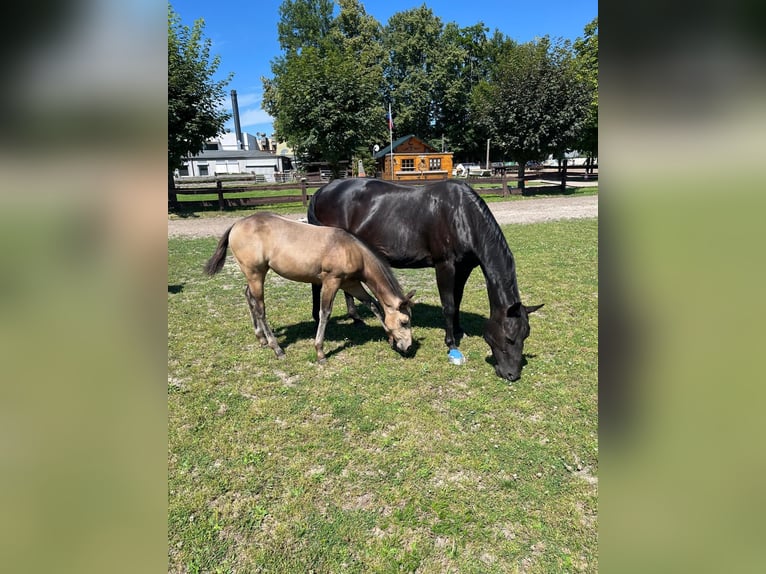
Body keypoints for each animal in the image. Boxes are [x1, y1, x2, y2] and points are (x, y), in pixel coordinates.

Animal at [206, 212, 414, 364]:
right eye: (404, 322)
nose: (408, 347)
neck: (352, 250)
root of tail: (236, 224)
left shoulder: (351, 283)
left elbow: (373, 305)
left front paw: (390, 338)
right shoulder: (331, 281)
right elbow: (325, 313)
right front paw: (320, 352)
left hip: (254, 275)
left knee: (248, 296)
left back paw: (261, 338)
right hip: (256, 274)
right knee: (260, 308)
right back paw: (277, 348)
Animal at [308, 178, 544, 380]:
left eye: (525, 336)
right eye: (509, 337)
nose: (512, 375)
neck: (462, 215)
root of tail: (322, 191)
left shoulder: (464, 267)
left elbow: (457, 300)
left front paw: (458, 330)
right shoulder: (444, 265)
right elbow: (448, 305)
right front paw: (451, 345)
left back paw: (355, 318)